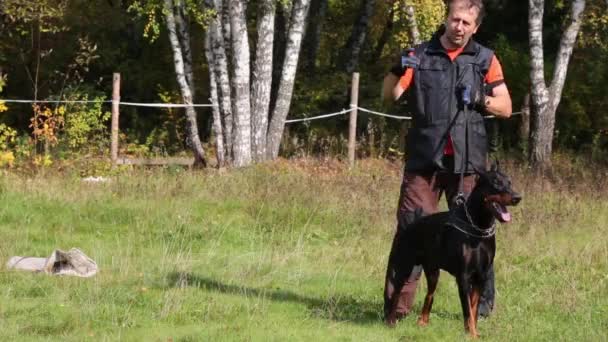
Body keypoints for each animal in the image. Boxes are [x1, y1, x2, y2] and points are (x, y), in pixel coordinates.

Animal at [384, 164, 524, 338]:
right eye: (496, 183)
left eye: (510, 182)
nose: (517, 197)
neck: (479, 227)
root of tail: (412, 223)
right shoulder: (463, 276)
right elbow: (467, 311)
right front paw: (471, 334)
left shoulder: (480, 275)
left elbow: (473, 309)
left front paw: (474, 334)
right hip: (404, 266)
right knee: (396, 293)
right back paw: (391, 321)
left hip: (433, 271)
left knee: (429, 295)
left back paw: (423, 322)